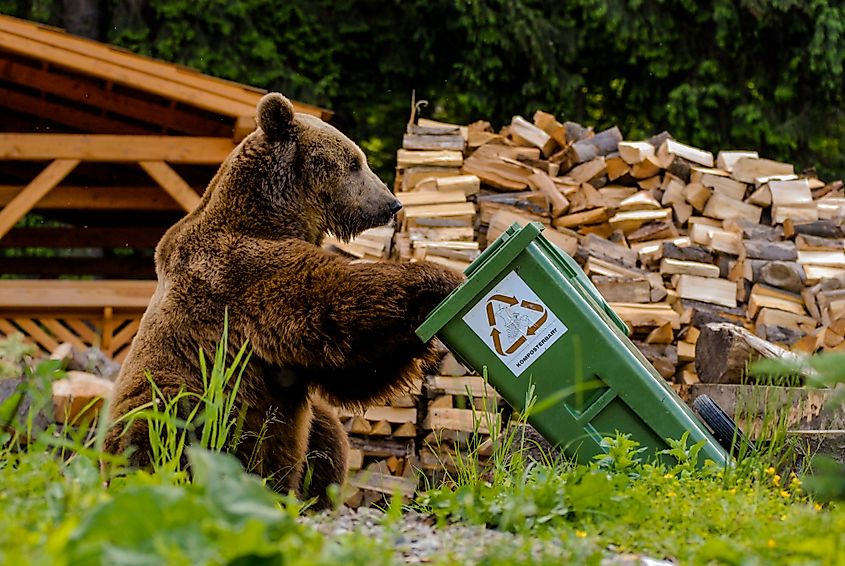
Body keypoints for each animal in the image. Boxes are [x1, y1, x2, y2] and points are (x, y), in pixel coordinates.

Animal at [104, 92, 464, 509]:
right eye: (354, 161)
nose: (392, 204)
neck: (275, 214)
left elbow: (353, 370)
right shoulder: (244, 275)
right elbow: (333, 306)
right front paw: (442, 277)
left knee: (325, 434)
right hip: (181, 400)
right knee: (162, 432)